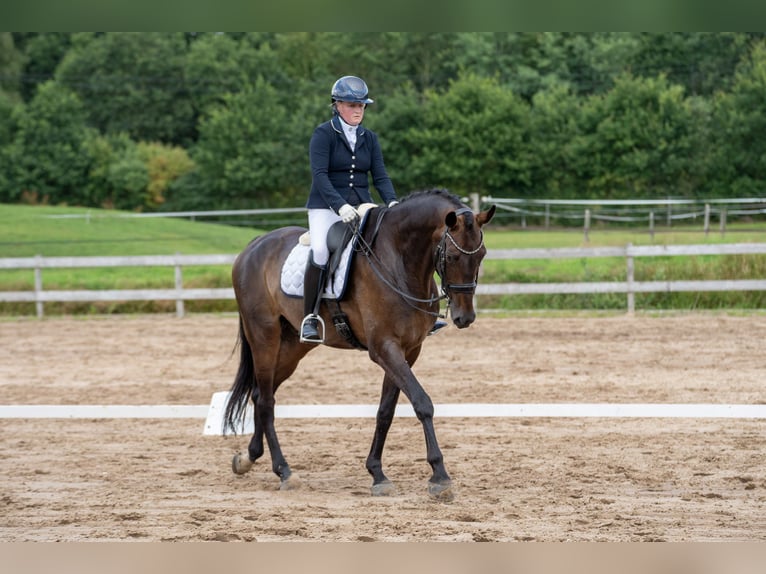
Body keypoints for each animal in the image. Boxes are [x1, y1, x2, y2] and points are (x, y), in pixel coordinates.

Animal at [223, 189, 496, 500]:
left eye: (482, 255)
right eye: (451, 256)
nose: (465, 317)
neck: (400, 261)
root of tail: (254, 246)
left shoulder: (408, 350)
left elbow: (385, 411)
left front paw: (377, 473)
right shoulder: (384, 348)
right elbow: (422, 402)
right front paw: (440, 476)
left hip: (293, 346)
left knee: (259, 393)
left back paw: (248, 458)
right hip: (264, 336)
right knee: (266, 400)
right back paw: (284, 471)